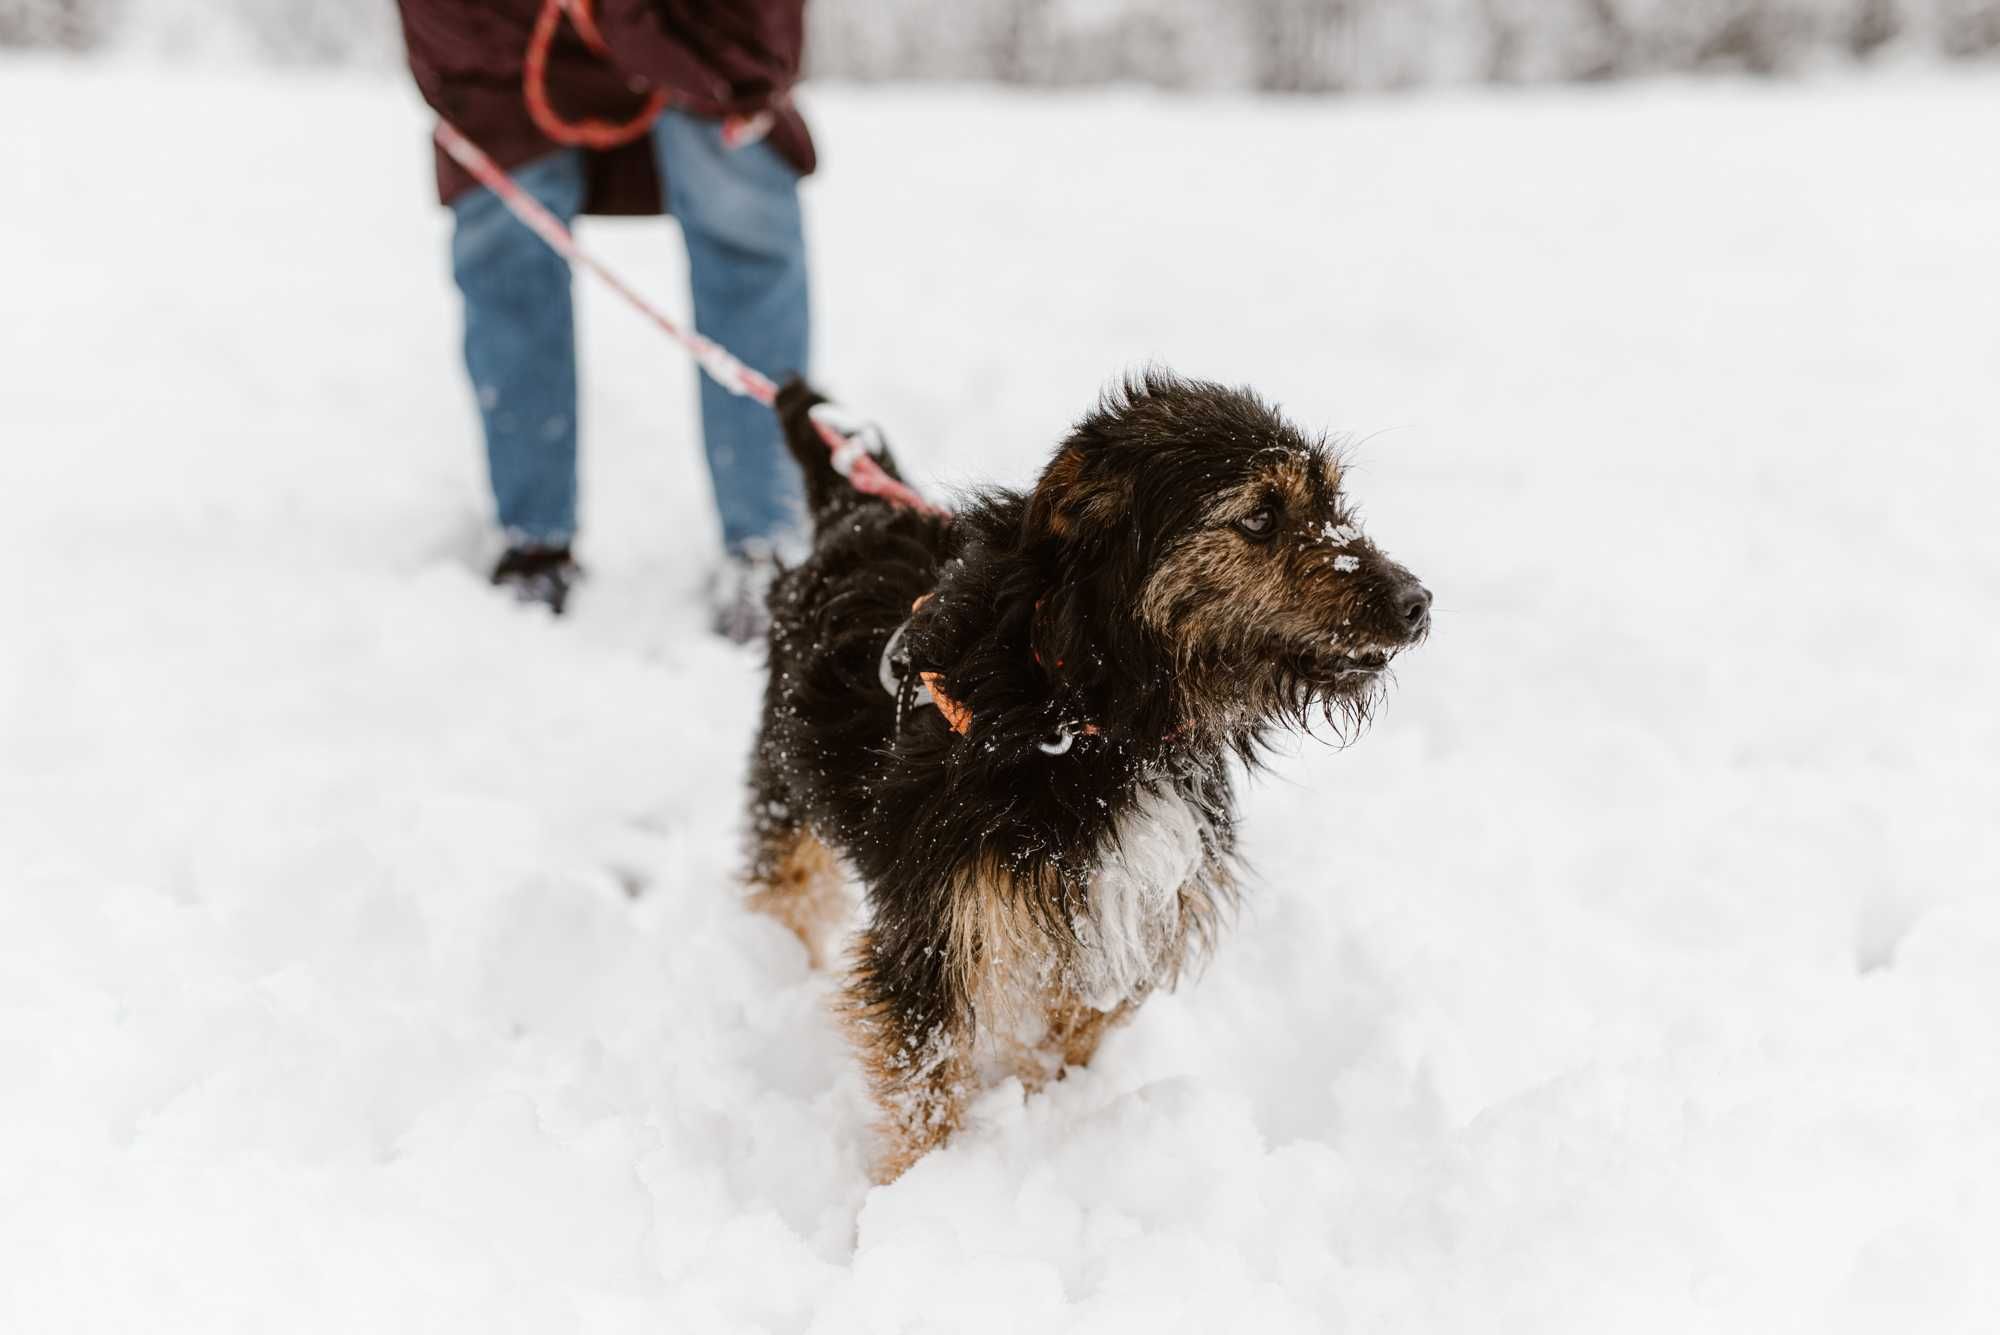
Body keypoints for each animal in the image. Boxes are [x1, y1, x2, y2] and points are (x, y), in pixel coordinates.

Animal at [748, 367, 1424, 1175]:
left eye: (1332, 503)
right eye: (1261, 515)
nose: (1418, 603)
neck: (1086, 717)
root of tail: (855, 507)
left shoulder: (1128, 896)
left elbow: (1078, 1022)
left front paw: (1046, 1095)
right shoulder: (939, 926)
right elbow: (926, 1083)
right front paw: (921, 1183)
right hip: (785, 780)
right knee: (785, 882)